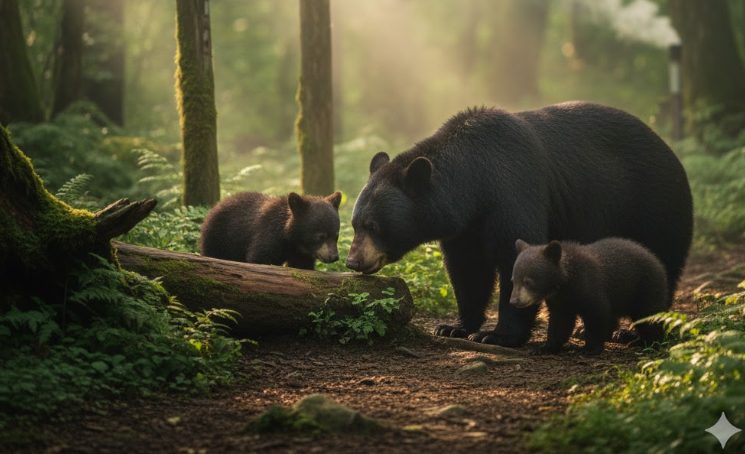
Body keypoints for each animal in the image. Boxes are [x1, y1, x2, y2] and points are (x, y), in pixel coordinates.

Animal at [200, 191, 341, 270]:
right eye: (320, 236)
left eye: (336, 235)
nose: (334, 257)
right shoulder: (268, 234)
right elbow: (259, 258)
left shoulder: (300, 252)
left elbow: (302, 265)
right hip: (219, 237)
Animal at [510, 238, 669, 355]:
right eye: (513, 280)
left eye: (528, 281)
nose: (513, 301)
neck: (566, 282)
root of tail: (657, 262)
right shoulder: (559, 301)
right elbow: (560, 322)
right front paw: (543, 348)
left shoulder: (590, 287)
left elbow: (597, 315)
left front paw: (589, 349)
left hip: (646, 288)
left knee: (649, 316)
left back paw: (649, 343)